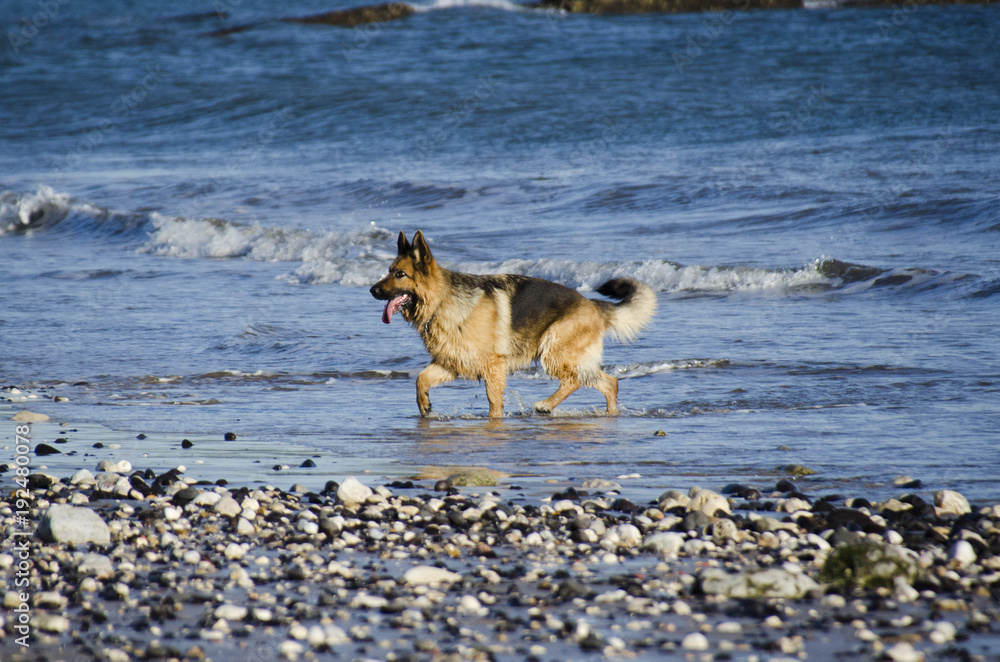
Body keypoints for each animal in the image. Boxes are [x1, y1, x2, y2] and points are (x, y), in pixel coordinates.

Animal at [370, 233, 656, 418]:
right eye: (389, 270)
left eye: (400, 274)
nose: (372, 290)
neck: (441, 300)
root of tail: (593, 304)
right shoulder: (451, 361)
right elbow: (421, 379)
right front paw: (424, 405)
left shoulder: (492, 365)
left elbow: (493, 401)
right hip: (572, 357)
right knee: (610, 383)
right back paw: (610, 414)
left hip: (553, 350)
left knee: (575, 381)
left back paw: (545, 405)